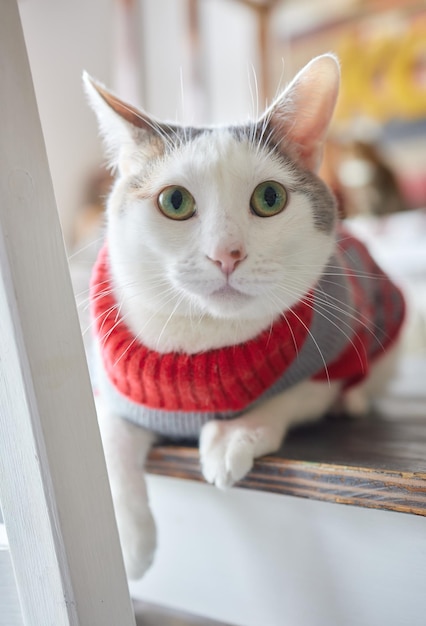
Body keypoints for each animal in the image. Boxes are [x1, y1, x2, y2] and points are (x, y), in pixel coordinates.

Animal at [84, 56, 406, 576]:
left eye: (269, 198)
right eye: (175, 201)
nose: (226, 255)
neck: (205, 344)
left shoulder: (326, 356)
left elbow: (292, 394)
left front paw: (233, 435)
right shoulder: (114, 388)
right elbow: (109, 435)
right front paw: (129, 544)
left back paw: (354, 401)